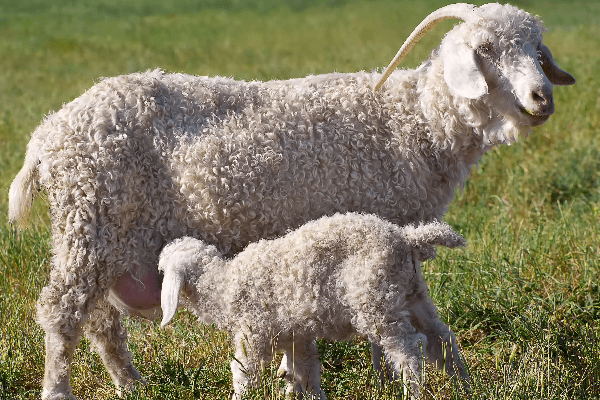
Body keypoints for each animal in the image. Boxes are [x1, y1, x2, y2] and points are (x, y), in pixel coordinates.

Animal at [8, 1, 572, 398]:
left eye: (536, 48)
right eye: (486, 49)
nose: (542, 97)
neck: (412, 122)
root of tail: (47, 134)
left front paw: (294, 380)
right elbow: (379, 340)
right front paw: (376, 384)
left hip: (103, 236)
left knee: (102, 321)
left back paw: (133, 387)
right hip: (88, 225)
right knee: (62, 314)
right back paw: (59, 391)